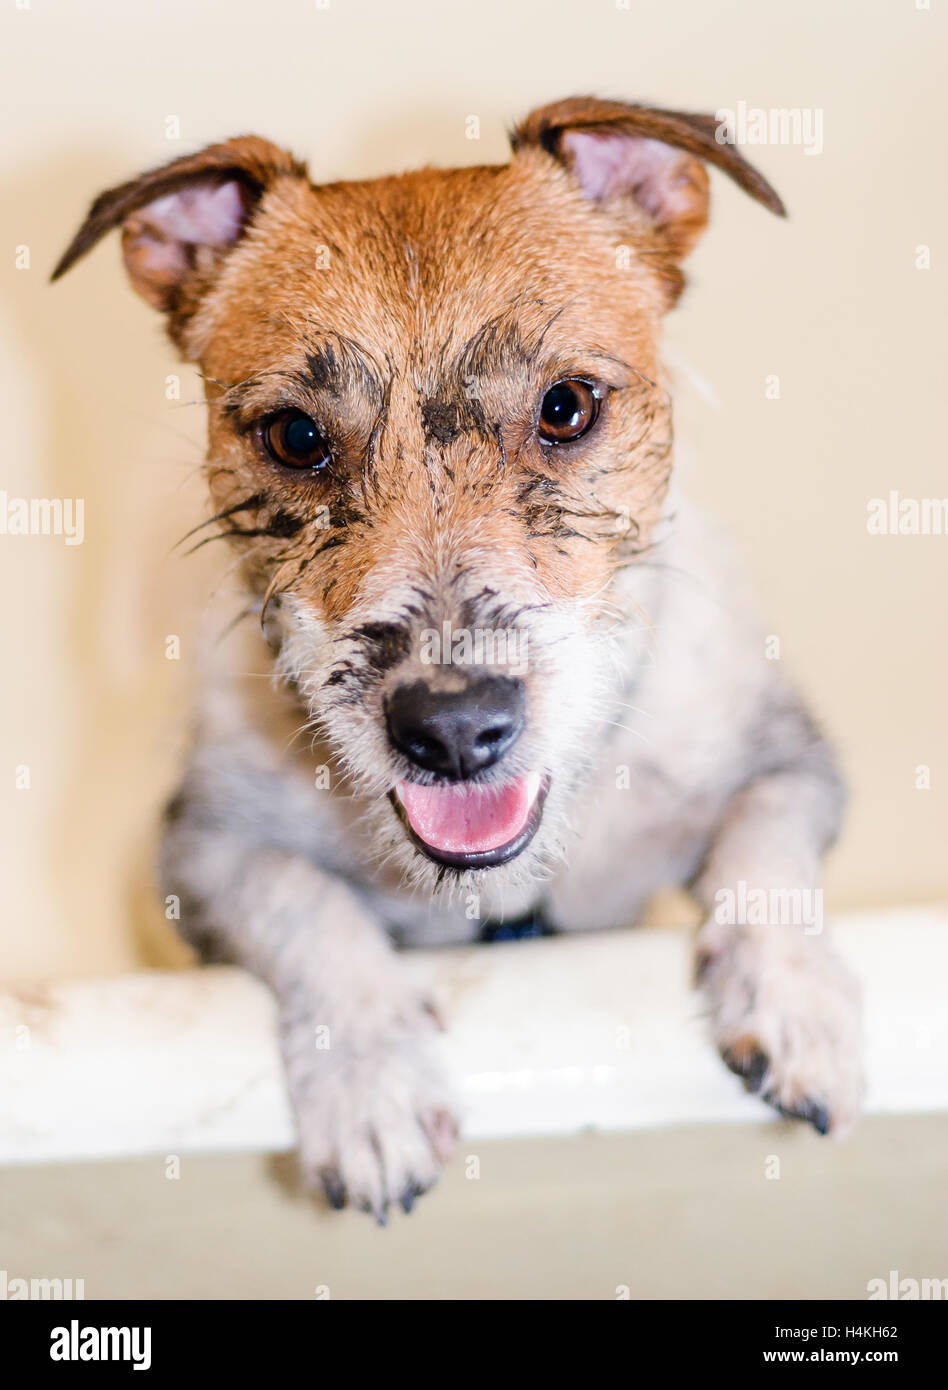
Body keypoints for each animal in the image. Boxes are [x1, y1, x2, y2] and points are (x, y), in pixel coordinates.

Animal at [55, 97, 861, 1217]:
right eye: (294, 436)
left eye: (567, 406)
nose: (449, 726)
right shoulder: (203, 852)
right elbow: (305, 907)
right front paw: (373, 1086)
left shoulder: (788, 760)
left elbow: (766, 847)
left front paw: (793, 1000)